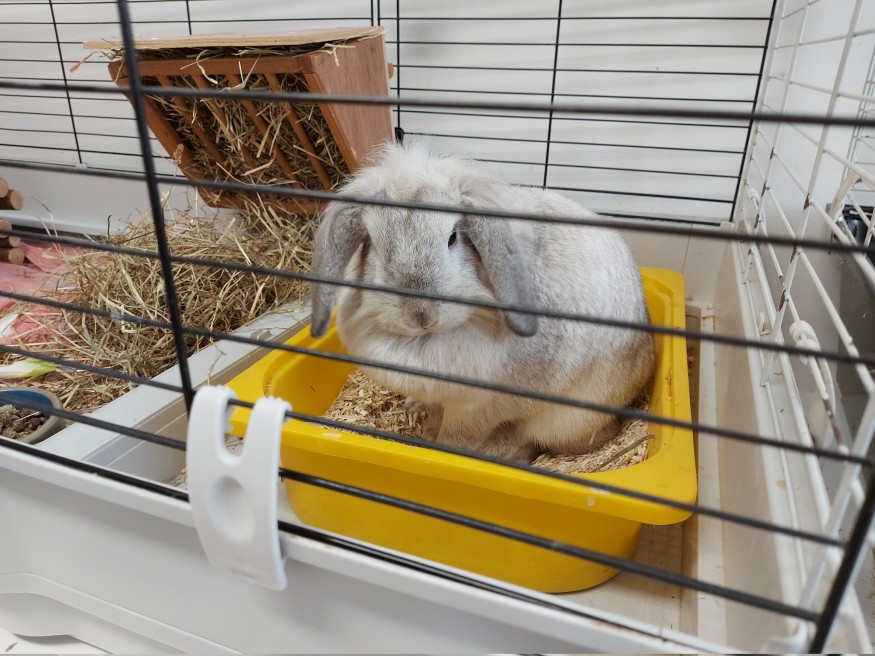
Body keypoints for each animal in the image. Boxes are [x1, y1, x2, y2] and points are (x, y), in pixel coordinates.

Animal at [309, 141, 656, 464]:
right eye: (375, 246)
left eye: (453, 237)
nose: (420, 315)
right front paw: (422, 420)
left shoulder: (478, 409)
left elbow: (458, 435)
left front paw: (440, 448)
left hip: (565, 421)